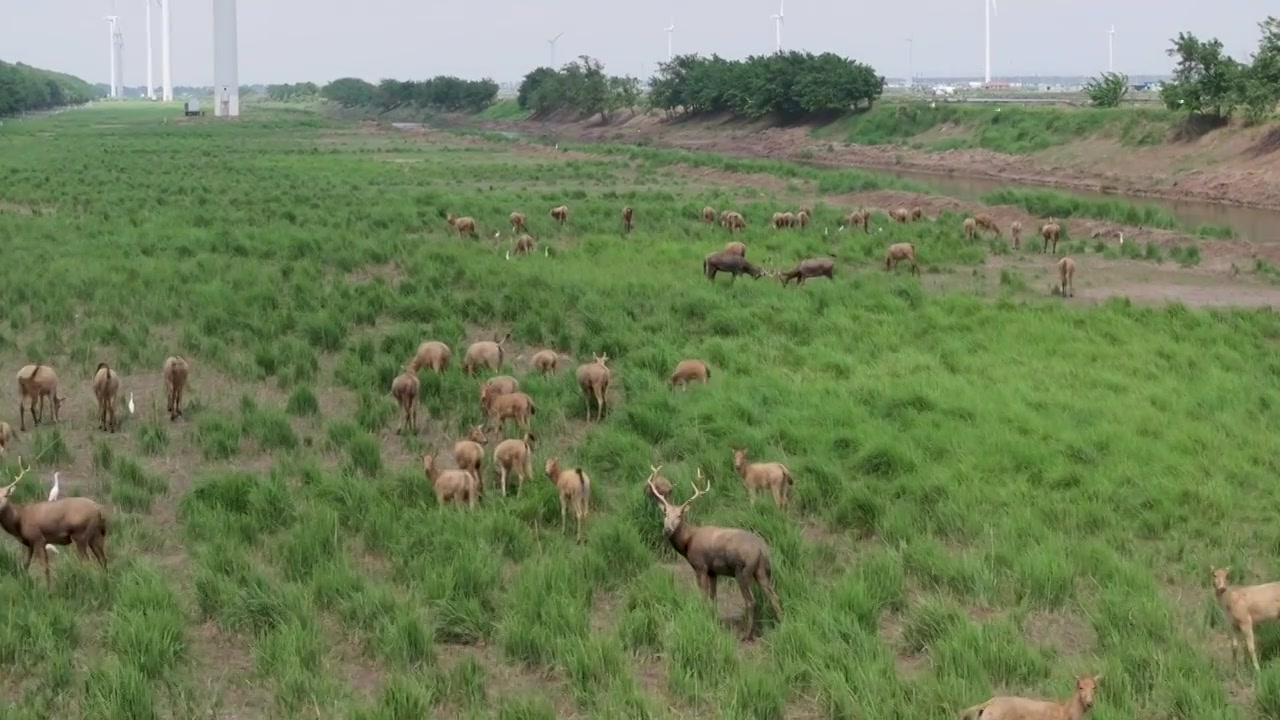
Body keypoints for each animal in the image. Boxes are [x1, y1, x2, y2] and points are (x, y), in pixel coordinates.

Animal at [650, 471, 778, 638]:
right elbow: (713, 598)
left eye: (680, 515)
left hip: (742, 571)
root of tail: (761, 548)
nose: (667, 530)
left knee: (751, 601)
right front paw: (714, 620)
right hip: (762, 571)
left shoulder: (700, 566)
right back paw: (781, 622)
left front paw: (703, 619)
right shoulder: (713, 571)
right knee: (774, 597)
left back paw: (747, 635)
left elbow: (704, 597)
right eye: (665, 513)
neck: (688, 542)